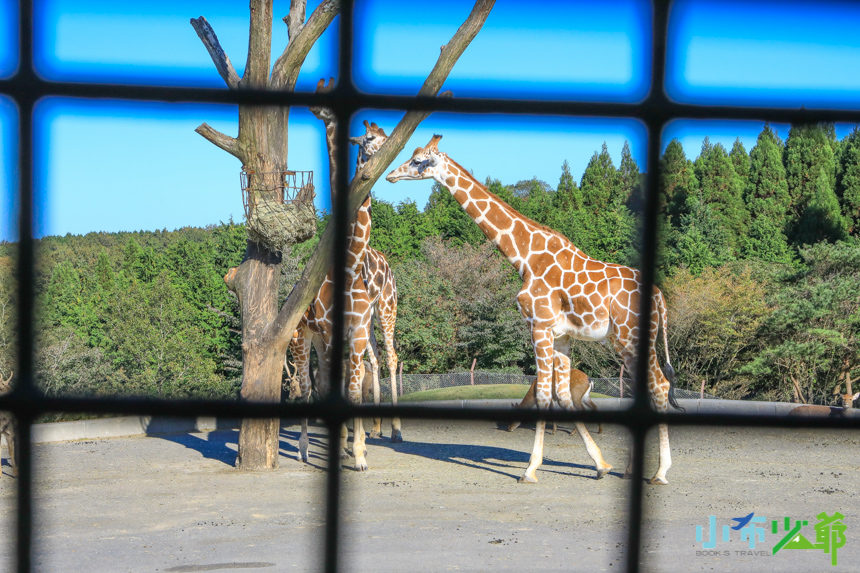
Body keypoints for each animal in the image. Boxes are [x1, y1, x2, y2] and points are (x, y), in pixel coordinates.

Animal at [386, 136, 680, 484]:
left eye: (418, 161)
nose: (390, 176)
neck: (524, 257)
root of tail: (660, 296)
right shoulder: (562, 335)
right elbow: (561, 396)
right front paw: (600, 465)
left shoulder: (538, 325)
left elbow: (542, 395)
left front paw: (529, 469)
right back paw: (632, 469)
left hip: (628, 338)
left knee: (660, 386)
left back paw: (660, 472)